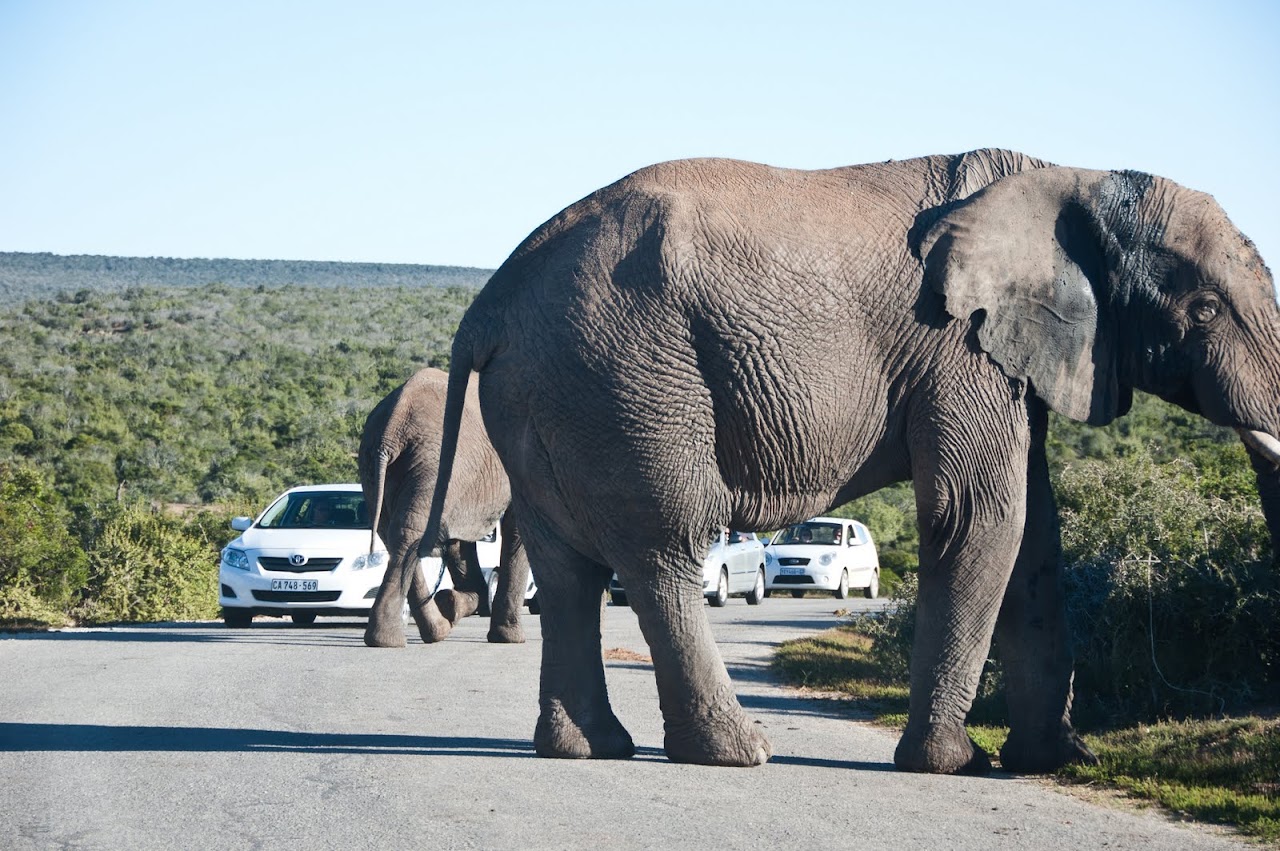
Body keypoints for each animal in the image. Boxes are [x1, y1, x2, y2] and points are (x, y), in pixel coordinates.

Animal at [359, 367, 530, 647]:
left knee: (395, 533)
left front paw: (457, 603)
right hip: (433, 463)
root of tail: (393, 425)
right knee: (409, 533)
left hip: (381, 466)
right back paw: (391, 638)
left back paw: (433, 628)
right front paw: (509, 638)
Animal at [414, 148, 1280, 773]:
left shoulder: (1006, 360)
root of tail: (487, 304)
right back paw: (739, 752)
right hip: (629, 383)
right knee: (664, 550)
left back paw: (588, 749)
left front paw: (1059, 761)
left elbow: (1035, 537)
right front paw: (955, 765)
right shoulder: (956, 348)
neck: (1073, 177)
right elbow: (979, 518)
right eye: (1204, 309)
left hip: (546, 393)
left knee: (568, 571)